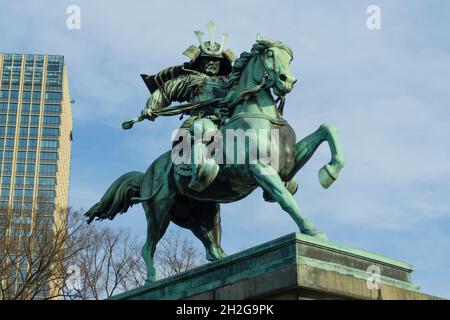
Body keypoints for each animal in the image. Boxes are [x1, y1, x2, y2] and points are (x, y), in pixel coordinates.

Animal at [84, 39, 344, 282]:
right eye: (270, 54)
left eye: (289, 58)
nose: (287, 80)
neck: (259, 116)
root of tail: (145, 174)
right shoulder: (259, 169)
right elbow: (286, 199)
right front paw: (312, 231)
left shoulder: (286, 167)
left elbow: (326, 129)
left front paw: (329, 172)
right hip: (159, 211)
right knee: (148, 247)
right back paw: (151, 280)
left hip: (203, 214)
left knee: (211, 248)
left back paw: (224, 262)